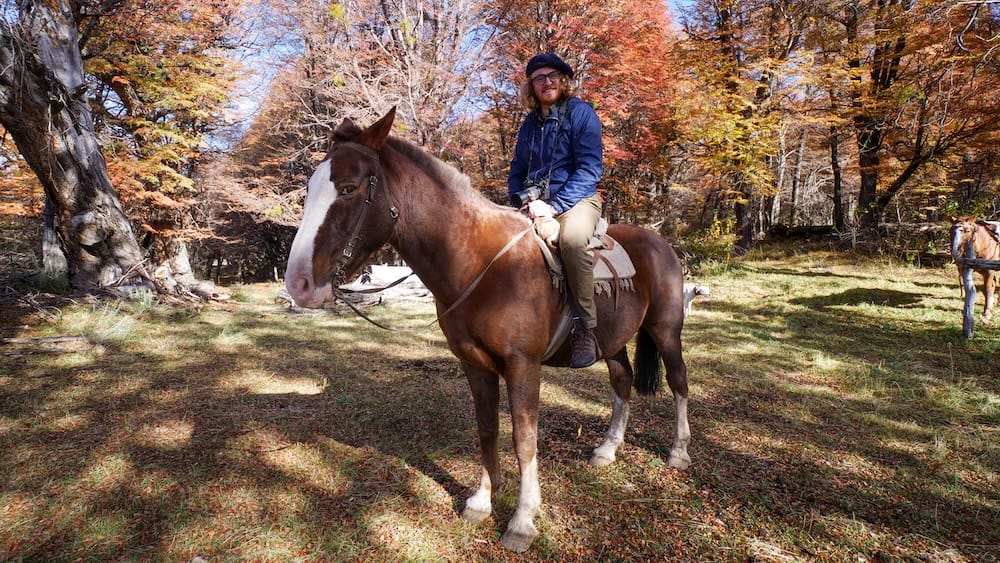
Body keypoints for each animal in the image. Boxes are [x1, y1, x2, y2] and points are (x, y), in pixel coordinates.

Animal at [283, 108, 690, 553]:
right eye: (311, 187)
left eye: (349, 188)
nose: (299, 284)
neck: (483, 264)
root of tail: (660, 243)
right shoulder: (475, 365)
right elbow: (487, 429)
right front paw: (483, 500)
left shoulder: (523, 366)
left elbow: (524, 440)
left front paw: (522, 521)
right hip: (612, 342)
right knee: (623, 382)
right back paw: (607, 450)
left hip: (666, 330)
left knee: (678, 382)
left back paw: (678, 452)